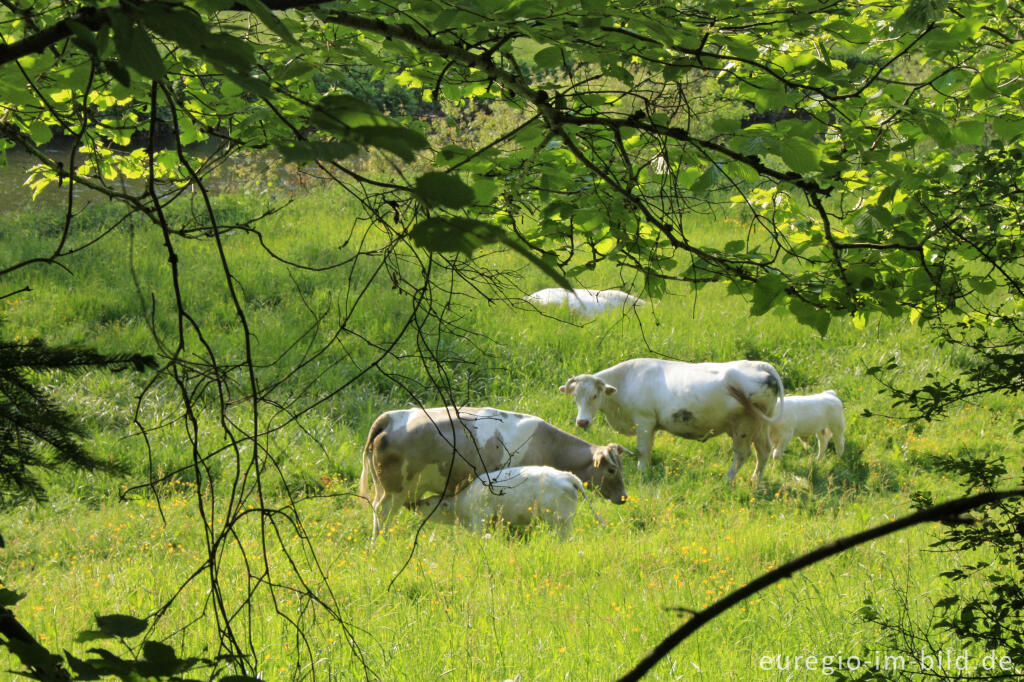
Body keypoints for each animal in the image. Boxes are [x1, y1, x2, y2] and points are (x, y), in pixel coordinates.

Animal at [561, 356, 782, 483]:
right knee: (763, 451)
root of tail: (760, 365)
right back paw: (755, 480)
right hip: (761, 425)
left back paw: (727, 480)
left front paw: (641, 472)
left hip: (744, 426)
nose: (582, 422)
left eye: (594, 396)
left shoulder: (644, 421)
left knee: (742, 454)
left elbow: (642, 450)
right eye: (575, 396)